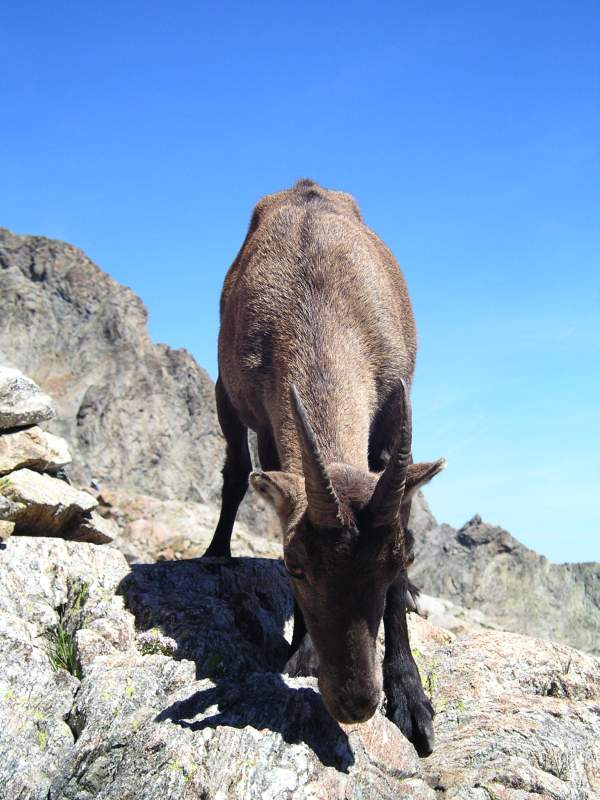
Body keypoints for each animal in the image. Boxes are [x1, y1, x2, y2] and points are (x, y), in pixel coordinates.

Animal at [203, 179, 445, 756]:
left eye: (398, 561)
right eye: (293, 564)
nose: (356, 703)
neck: (320, 306)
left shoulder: (393, 422)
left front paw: (410, 697)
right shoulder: (269, 423)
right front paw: (303, 652)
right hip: (226, 398)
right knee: (233, 472)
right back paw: (216, 553)